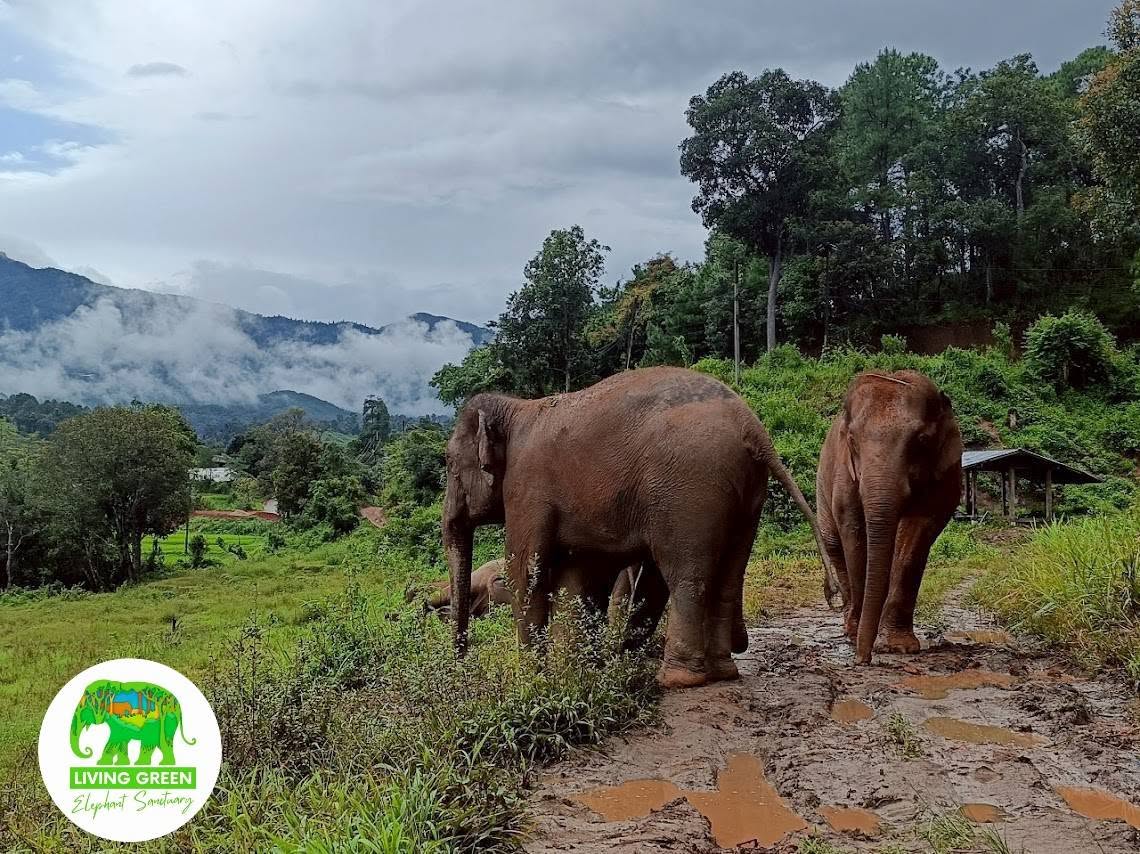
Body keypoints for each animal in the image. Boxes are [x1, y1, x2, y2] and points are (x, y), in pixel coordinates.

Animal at [442, 366, 834, 689]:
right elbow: (580, 577)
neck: (515, 408)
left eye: (447, 463)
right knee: (727, 571)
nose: (461, 666)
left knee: (684, 572)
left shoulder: (526, 489)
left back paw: (677, 679)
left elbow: (527, 571)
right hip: (745, 493)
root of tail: (753, 426)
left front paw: (535, 677)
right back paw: (721, 671)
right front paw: (581, 670)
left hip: (688, 489)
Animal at [816, 370, 963, 665]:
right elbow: (854, 531)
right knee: (834, 544)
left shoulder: (945, 475)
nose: (862, 660)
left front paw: (898, 647)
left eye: (921, 440)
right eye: (852, 440)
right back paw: (848, 625)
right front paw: (857, 636)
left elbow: (918, 531)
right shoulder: (843, 473)